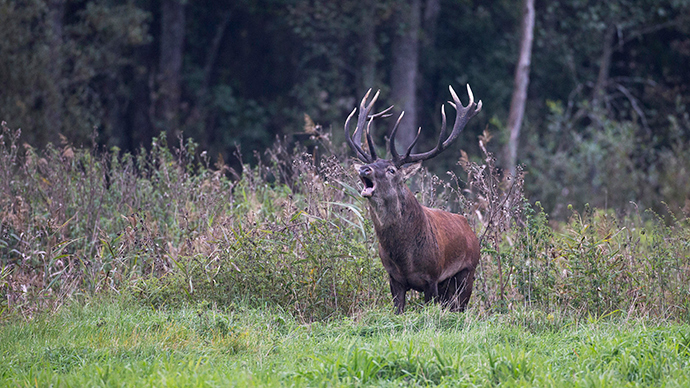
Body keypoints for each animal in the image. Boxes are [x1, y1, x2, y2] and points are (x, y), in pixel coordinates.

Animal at [342, 85, 482, 316]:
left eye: (391, 170)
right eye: (372, 164)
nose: (364, 169)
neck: (404, 258)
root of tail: (469, 229)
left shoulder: (432, 277)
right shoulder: (394, 279)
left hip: (467, 272)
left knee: (460, 307)